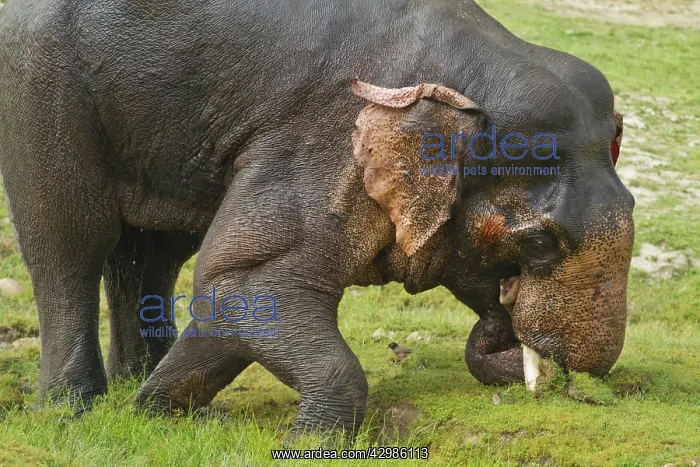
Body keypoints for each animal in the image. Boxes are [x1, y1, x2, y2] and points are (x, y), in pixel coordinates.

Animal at [0, 0, 633, 438]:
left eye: (631, 205)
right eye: (541, 243)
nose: (504, 326)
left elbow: (227, 288)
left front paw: (155, 413)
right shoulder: (322, 140)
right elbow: (247, 281)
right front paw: (306, 442)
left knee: (151, 253)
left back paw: (133, 386)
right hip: (40, 88)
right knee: (72, 242)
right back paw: (69, 411)